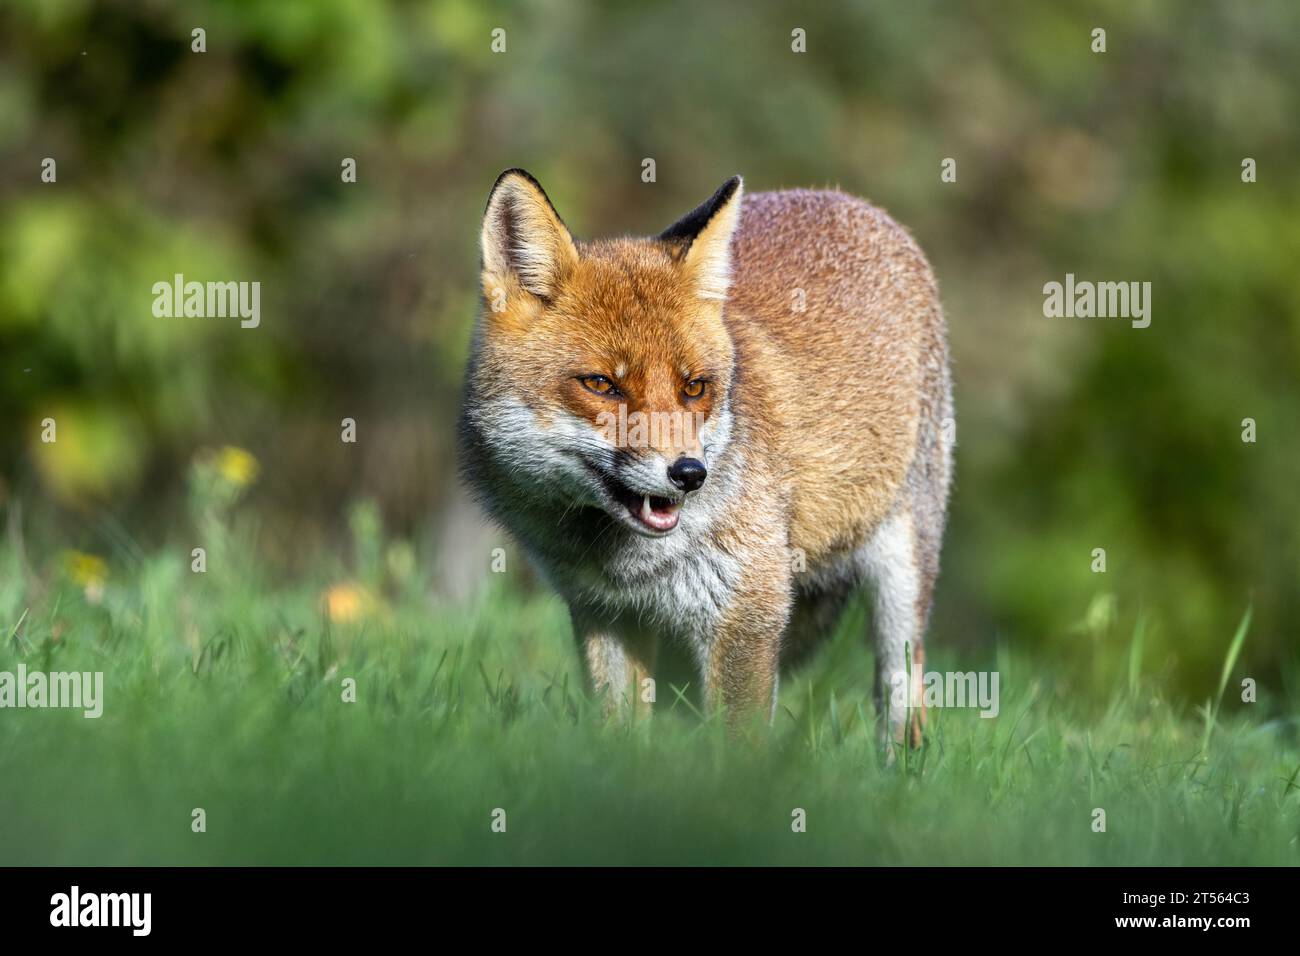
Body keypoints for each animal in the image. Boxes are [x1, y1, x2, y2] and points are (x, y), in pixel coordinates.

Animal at [459, 169, 953, 745]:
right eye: (602, 384)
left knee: (903, 699)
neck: (631, 565)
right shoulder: (606, 613)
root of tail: (846, 199)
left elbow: (735, 749)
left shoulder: (746, 617)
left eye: (694, 387)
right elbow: (618, 736)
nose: (690, 474)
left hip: (903, 577)